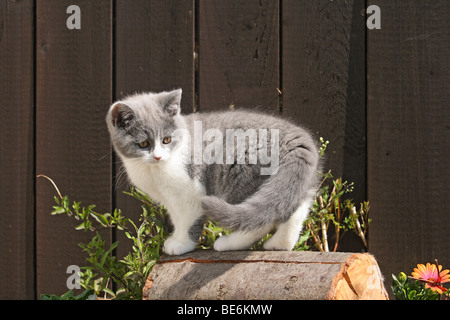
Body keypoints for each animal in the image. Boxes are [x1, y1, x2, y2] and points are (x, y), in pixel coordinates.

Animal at [106, 89, 320, 255]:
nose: (158, 156)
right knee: (294, 208)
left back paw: (228, 243)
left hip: (240, 173)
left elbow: (187, 219)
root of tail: (296, 139)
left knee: (259, 220)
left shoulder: (190, 189)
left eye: (166, 140)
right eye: (143, 144)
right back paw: (279, 244)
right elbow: (176, 216)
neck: (154, 170)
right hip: (295, 182)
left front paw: (181, 244)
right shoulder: (170, 197)